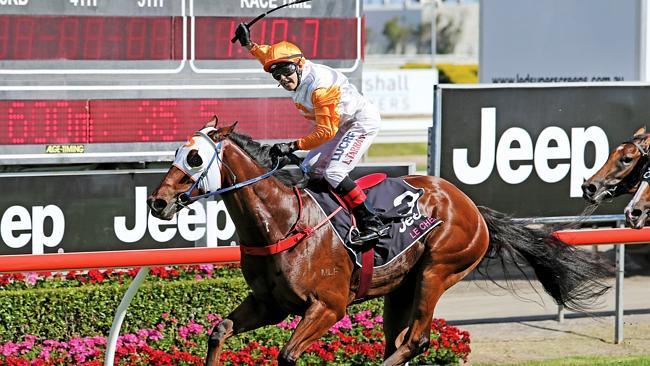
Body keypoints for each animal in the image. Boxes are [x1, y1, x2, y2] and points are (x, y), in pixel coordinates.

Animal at [148, 118, 612, 366]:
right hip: (399, 288)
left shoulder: (328, 306)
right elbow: (218, 331)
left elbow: (287, 354)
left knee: (416, 340)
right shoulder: (270, 304)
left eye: (194, 157)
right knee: (398, 340)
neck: (282, 222)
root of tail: (473, 208)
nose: (157, 202)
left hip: (437, 271)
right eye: (175, 154)